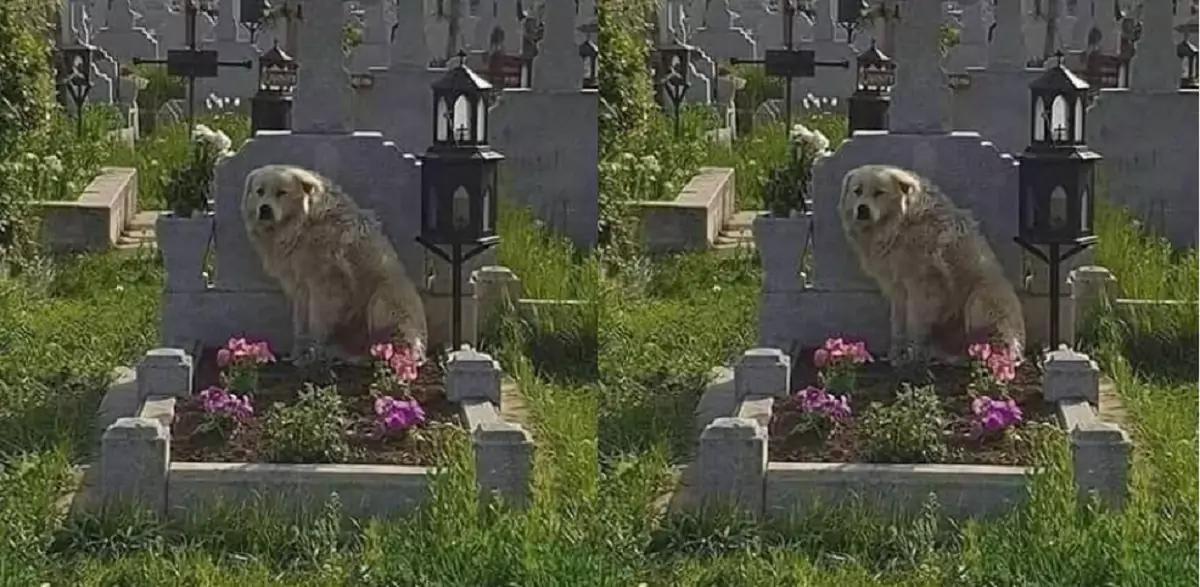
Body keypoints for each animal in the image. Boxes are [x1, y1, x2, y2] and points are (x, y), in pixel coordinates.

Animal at [238, 162, 427, 360]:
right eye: (259, 191)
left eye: (281, 193)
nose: (264, 209)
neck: (303, 223)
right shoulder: (300, 285)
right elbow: (300, 321)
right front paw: (299, 351)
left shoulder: (324, 284)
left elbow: (317, 321)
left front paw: (313, 352)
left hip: (381, 301)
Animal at [840, 163, 1027, 362]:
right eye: (857, 191)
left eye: (879, 193)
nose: (862, 209)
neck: (900, 224)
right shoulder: (897, 287)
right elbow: (897, 323)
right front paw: (896, 353)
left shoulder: (921, 286)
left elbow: (914, 322)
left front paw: (912, 355)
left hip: (979, 301)